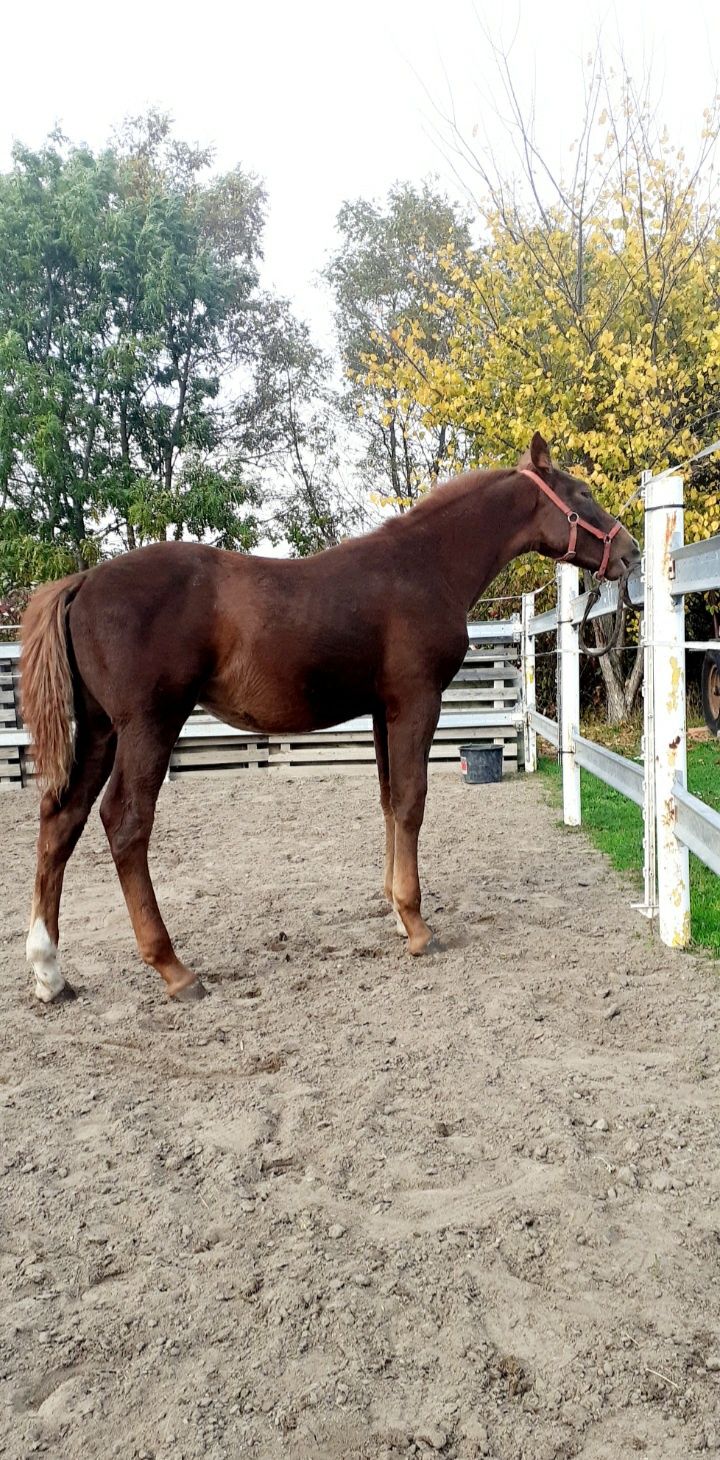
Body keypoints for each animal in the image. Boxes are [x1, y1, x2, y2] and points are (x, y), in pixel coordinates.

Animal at [21, 432, 639, 1004]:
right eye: (582, 494)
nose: (630, 553)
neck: (425, 566)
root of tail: (83, 582)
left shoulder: (383, 710)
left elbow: (389, 801)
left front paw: (397, 912)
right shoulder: (416, 702)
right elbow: (411, 802)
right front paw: (417, 925)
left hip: (99, 730)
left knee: (61, 820)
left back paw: (50, 973)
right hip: (148, 724)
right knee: (125, 822)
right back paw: (174, 968)